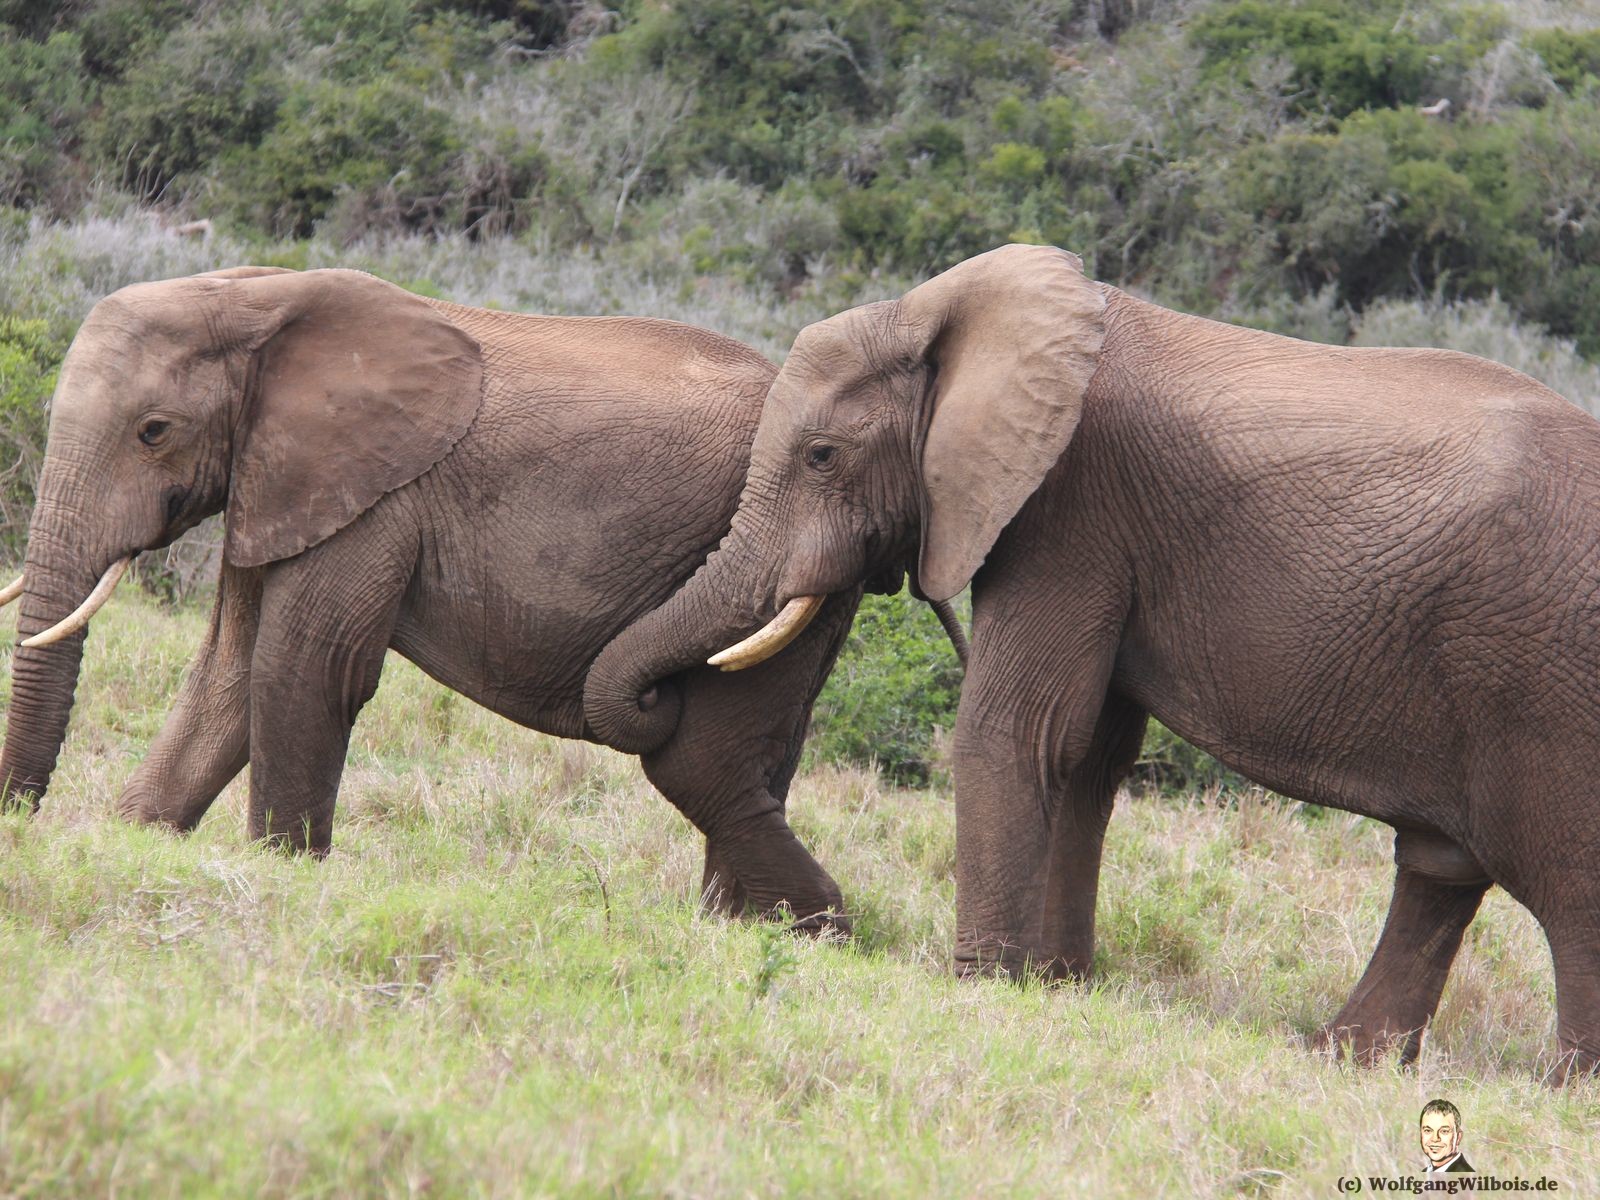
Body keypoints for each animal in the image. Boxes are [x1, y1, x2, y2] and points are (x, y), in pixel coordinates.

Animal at [0, 262, 876, 928]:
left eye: (154, 431)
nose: (21, 821)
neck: (259, 297)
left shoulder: (375, 498)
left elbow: (305, 670)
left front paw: (287, 876)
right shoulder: (279, 478)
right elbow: (226, 672)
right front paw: (136, 843)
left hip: (776, 562)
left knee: (714, 754)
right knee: (760, 758)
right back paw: (735, 931)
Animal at [588, 240, 1600, 1075]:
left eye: (822, 456)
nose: (657, 701)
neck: (941, 313)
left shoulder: (1070, 506)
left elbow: (1017, 728)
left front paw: (979, 988)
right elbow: (1085, 755)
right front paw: (1059, 987)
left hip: (1545, 680)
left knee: (1561, 879)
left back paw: (1559, 1087)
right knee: (1439, 868)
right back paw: (1339, 1057)